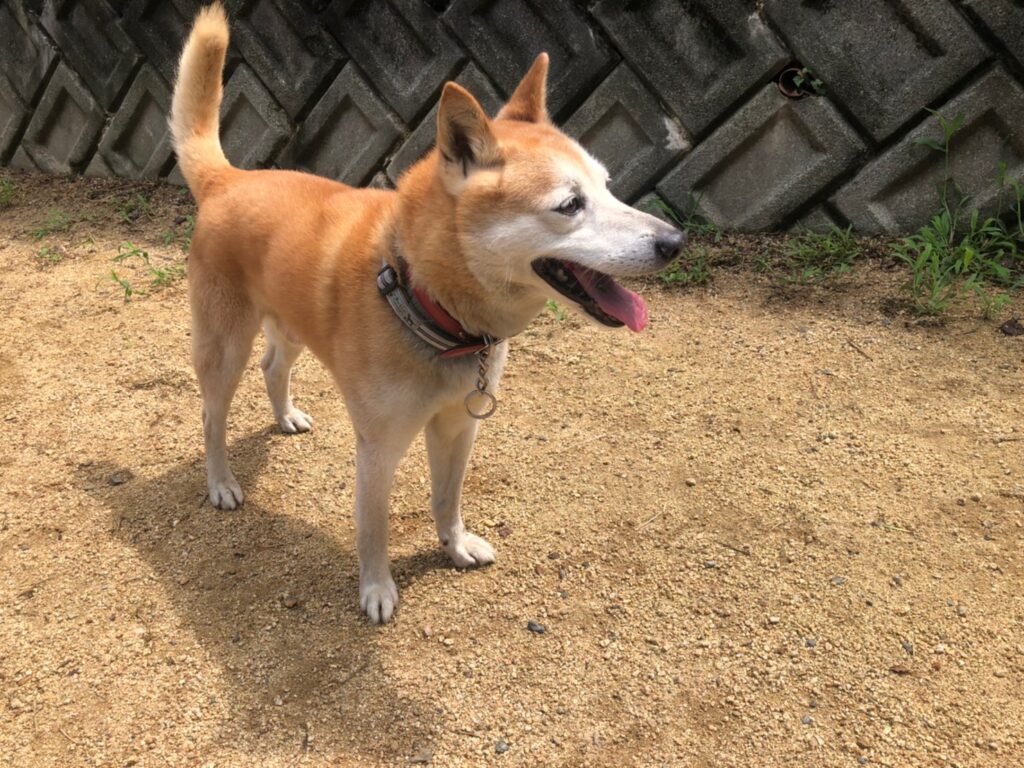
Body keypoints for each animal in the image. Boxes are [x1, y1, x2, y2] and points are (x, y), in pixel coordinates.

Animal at [171, 3, 683, 622]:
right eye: (570, 205)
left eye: (608, 188)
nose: (675, 242)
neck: (424, 297)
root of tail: (230, 178)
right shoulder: (379, 448)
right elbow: (373, 530)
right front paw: (376, 590)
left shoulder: (459, 425)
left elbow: (447, 498)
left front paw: (455, 547)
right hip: (224, 347)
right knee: (211, 415)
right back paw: (221, 484)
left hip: (289, 325)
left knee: (274, 367)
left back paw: (285, 416)